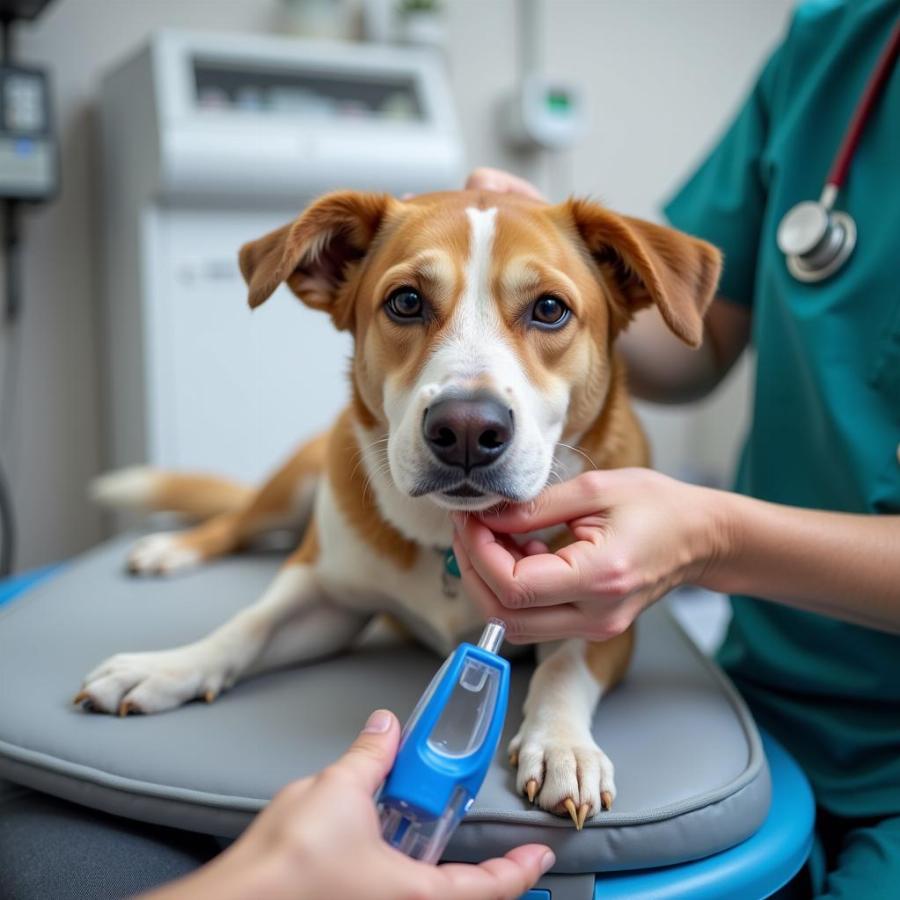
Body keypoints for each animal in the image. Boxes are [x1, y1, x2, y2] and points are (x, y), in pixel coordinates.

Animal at [81, 188, 720, 828]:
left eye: (550, 309)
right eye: (407, 301)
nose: (467, 430)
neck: (446, 531)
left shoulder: (609, 610)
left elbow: (565, 666)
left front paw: (564, 746)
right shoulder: (326, 596)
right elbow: (249, 625)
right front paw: (167, 667)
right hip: (300, 479)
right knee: (238, 521)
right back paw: (172, 548)